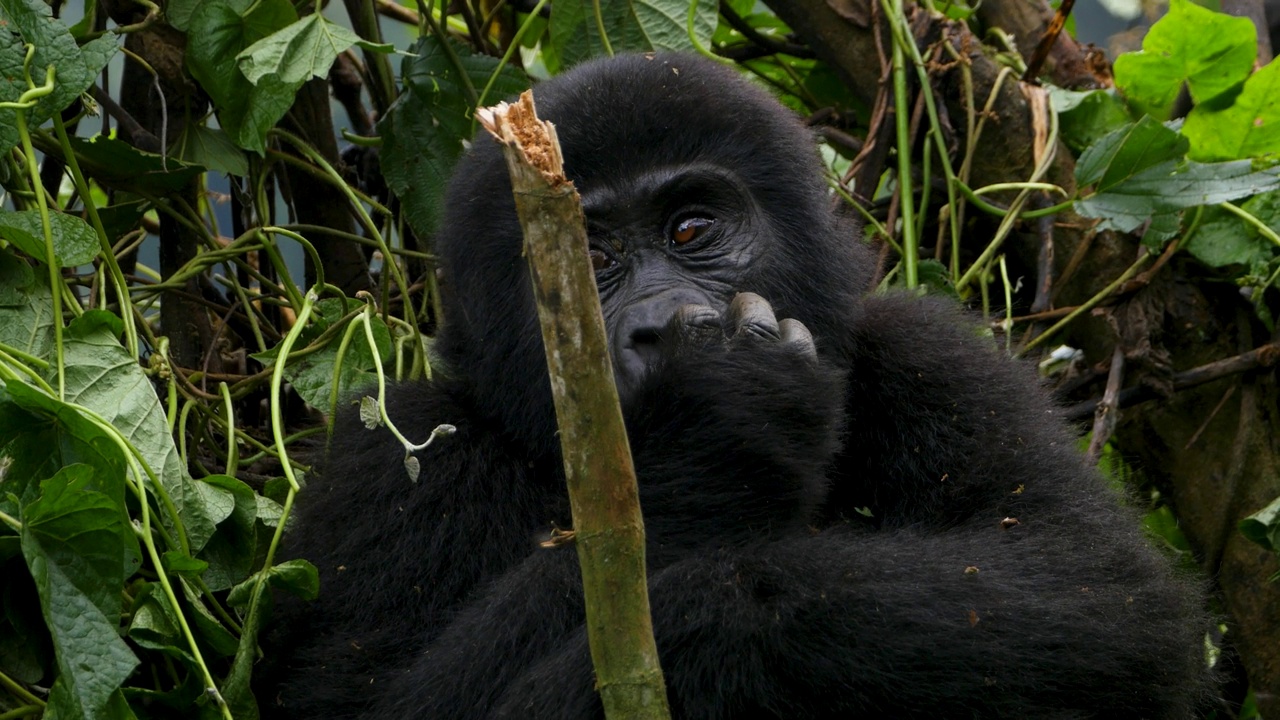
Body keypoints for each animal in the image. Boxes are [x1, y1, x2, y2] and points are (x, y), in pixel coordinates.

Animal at [262, 53, 1208, 712]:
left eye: (690, 230)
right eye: (591, 259)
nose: (657, 324)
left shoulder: (932, 354)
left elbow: (1099, 589)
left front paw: (716, 604)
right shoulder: (393, 452)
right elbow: (369, 700)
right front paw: (714, 441)